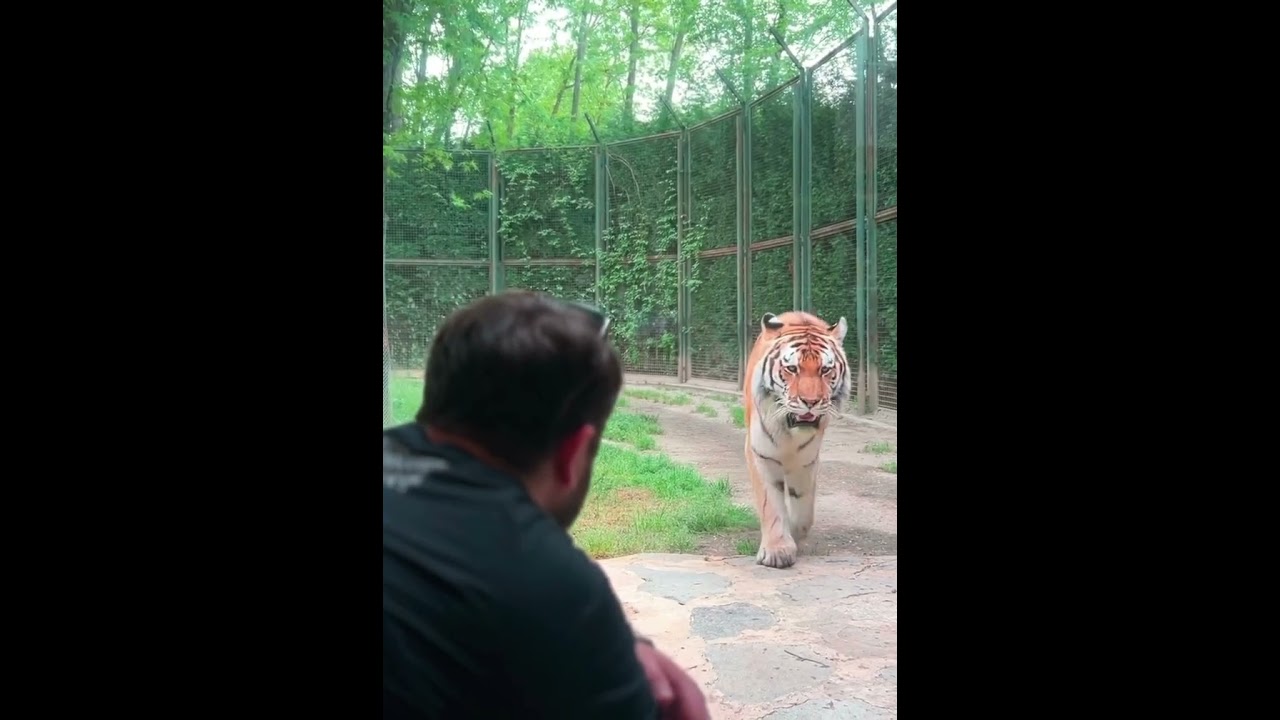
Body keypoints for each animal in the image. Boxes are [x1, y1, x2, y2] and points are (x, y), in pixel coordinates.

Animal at [743, 310, 851, 569]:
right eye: (792, 368)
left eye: (825, 370)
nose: (810, 401)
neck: (789, 431)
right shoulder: (760, 454)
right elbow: (770, 504)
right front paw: (777, 551)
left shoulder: (806, 460)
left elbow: (803, 507)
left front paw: (793, 532)